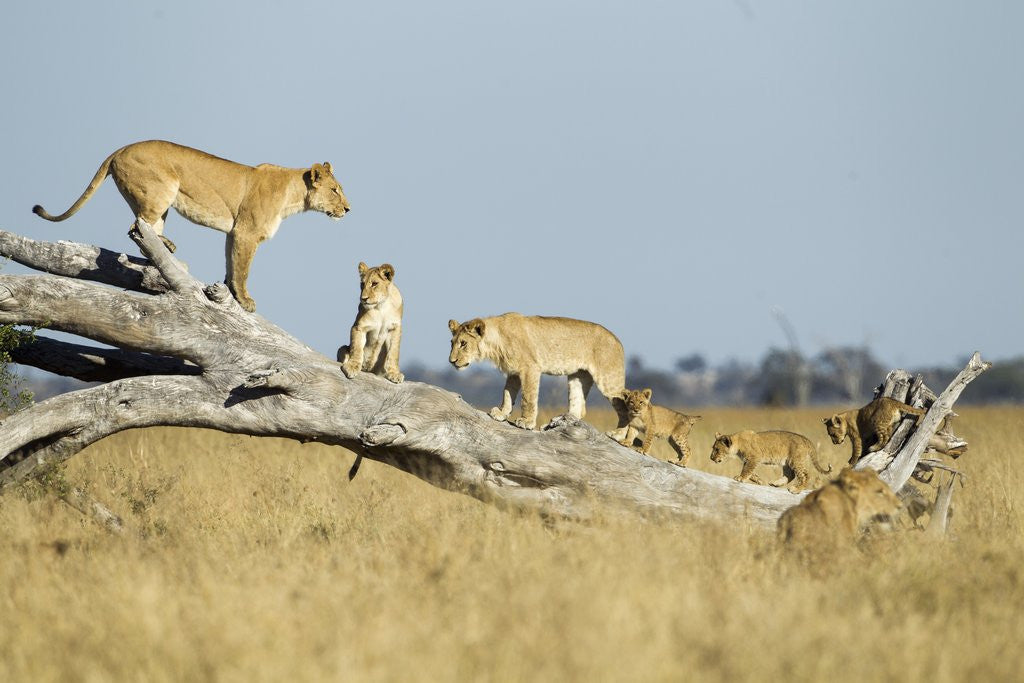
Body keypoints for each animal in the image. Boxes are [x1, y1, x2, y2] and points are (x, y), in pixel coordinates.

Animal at [32, 140, 350, 312]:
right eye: (335, 190)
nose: (348, 209)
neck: (294, 197)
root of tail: (120, 149)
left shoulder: (234, 233)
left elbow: (231, 264)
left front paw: (229, 293)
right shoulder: (246, 233)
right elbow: (244, 269)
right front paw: (245, 300)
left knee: (144, 230)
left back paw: (168, 247)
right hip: (161, 191)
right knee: (136, 227)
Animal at [447, 313, 629, 431]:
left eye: (463, 343)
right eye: (452, 343)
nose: (451, 361)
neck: (496, 342)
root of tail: (618, 340)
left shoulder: (530, 368)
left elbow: (528, 398)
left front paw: (526, 422)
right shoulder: (513, 372)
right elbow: (507, 393)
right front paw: (502, 413)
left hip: (608, 380)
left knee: (625, 406)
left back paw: (618, 436)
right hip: (578, 376)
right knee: (579, 408)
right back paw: (554, 425)